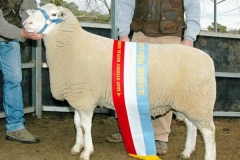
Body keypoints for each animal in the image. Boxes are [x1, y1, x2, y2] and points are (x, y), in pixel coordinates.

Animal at [24, 3, 218, 160]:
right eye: (36, 10)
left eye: (54, 14)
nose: (27, 24)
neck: (73, 45)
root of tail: (208, 59)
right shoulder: (79, 96)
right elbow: (77, 124)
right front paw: (77, 147)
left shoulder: (85, 97)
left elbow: (86, 126)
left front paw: (86, 152)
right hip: (187, 102)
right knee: (192, 126)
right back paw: (187, 152)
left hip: (199, 102)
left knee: (208, 132)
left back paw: (208, 155)